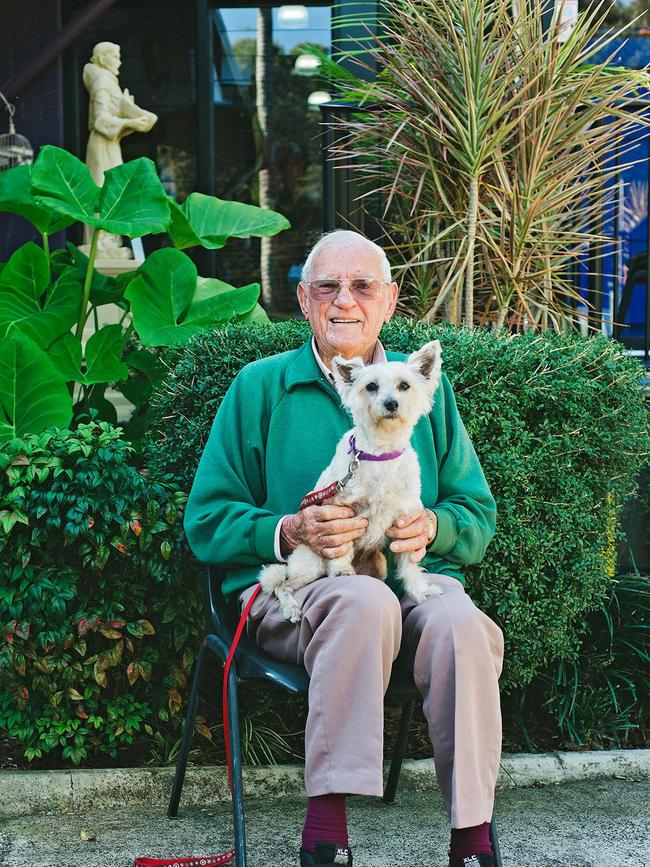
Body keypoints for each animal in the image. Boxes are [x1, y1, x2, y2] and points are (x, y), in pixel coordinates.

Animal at [258, 340, 446, 624]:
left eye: (404, 385)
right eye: (371, 387)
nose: (391, 403)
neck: (380, 454)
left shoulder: (405, 519)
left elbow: (409, 565)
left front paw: (420, 591)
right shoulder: (340, 511)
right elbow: (341, 547)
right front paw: (341, 570)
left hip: (379, 568)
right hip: (311, 566)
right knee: (282, 585)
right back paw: (291, 608)